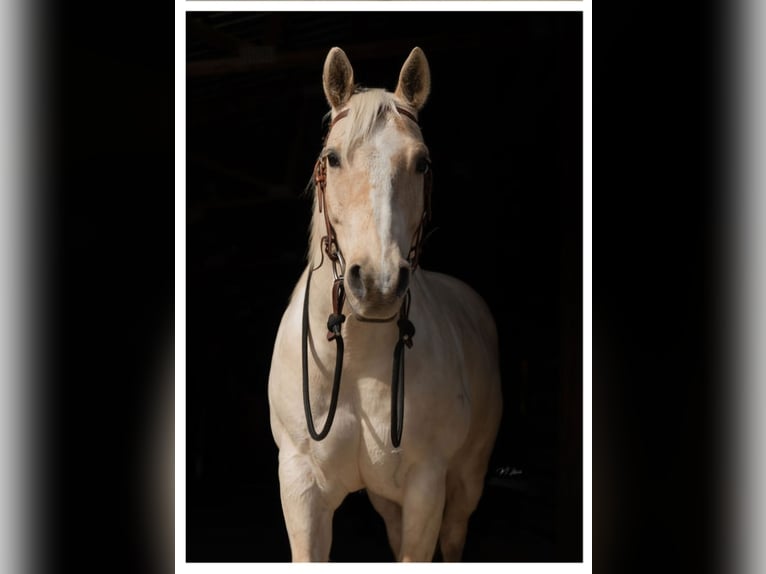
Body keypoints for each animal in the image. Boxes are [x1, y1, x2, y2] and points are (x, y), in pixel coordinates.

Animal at [267, 46, 503, 562]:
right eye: (332, 158)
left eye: (422, 163)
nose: (377, 283)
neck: (357, 360)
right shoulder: (301, 487)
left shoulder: (426, 487)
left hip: (466, 481)